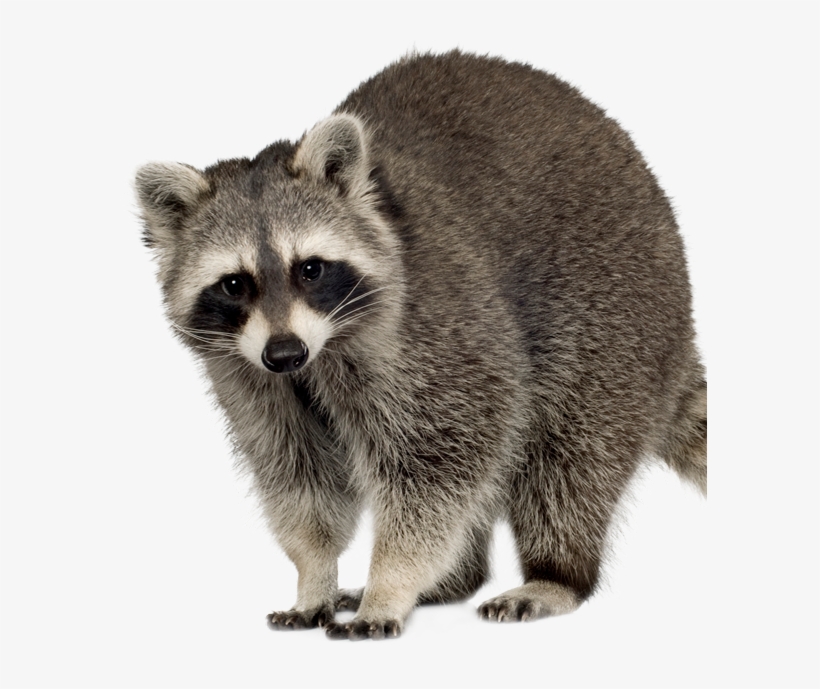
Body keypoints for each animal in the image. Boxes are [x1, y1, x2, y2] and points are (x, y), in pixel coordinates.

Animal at [135, 51, 706, 640]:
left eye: (310, 269)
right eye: (234, 284)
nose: (286, 354)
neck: (322, 348)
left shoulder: (436, 332)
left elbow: (440, 460)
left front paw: (391, 581)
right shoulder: (246, 374)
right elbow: (297, 472)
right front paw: (314, 573)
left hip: (615, 316)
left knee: (570, 457)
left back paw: (556, 574)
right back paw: (456, 579)